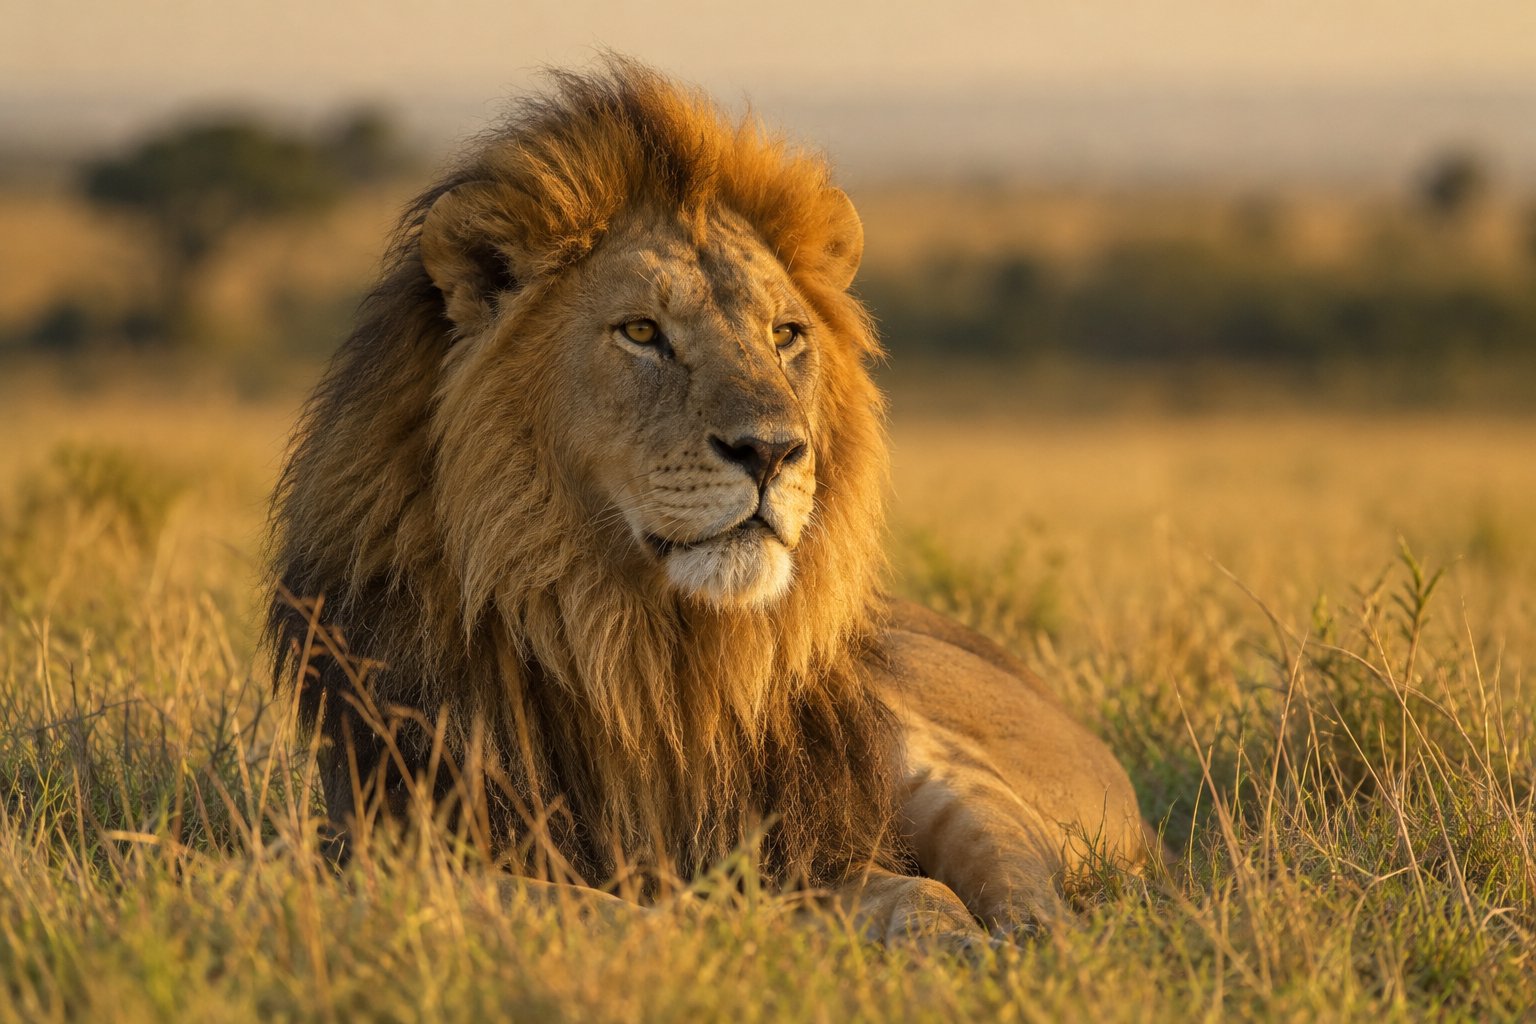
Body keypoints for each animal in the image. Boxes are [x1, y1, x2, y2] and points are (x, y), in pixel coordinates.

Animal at [267, 58, 1148, 944]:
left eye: (784, 335)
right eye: (641, 333)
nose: (774, 451)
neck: (646, 657)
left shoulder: (811, 834)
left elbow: (909, 890)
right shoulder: (402, 852)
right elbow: (617, 911)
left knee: (1032, 898)